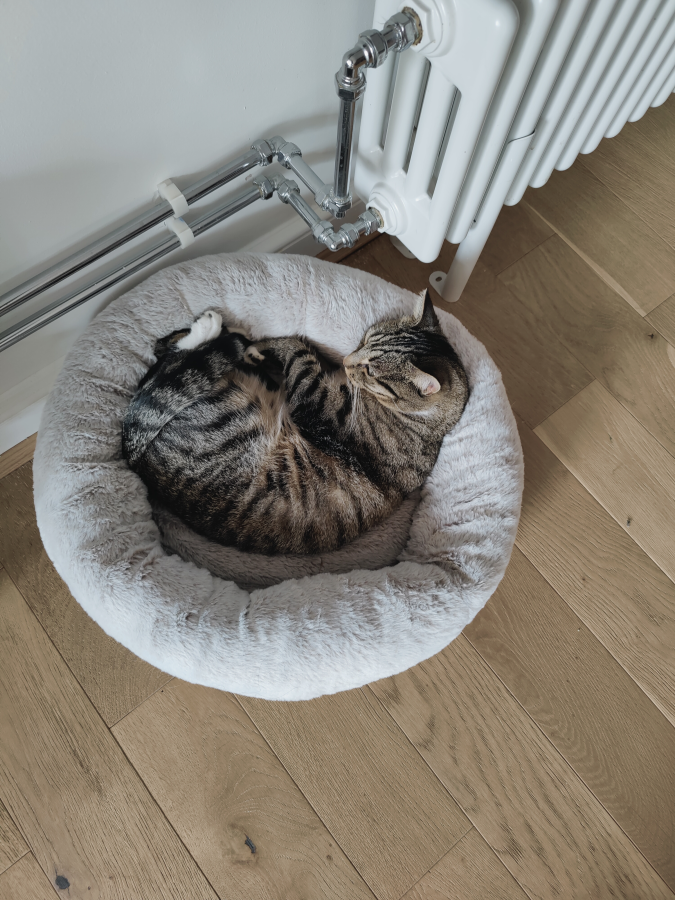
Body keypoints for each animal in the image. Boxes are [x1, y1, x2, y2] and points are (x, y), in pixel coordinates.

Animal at [122, 290, 469, 555]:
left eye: (371, 370)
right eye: (367, 338)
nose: (346, 361)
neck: (424, 423)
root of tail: (137, 460)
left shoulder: (317, 401)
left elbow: (298, 350)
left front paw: (264, 347)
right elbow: (301, 350)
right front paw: (261, 350)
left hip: (227, 407)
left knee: (173, 363)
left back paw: (212, 330)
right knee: (163, 355)